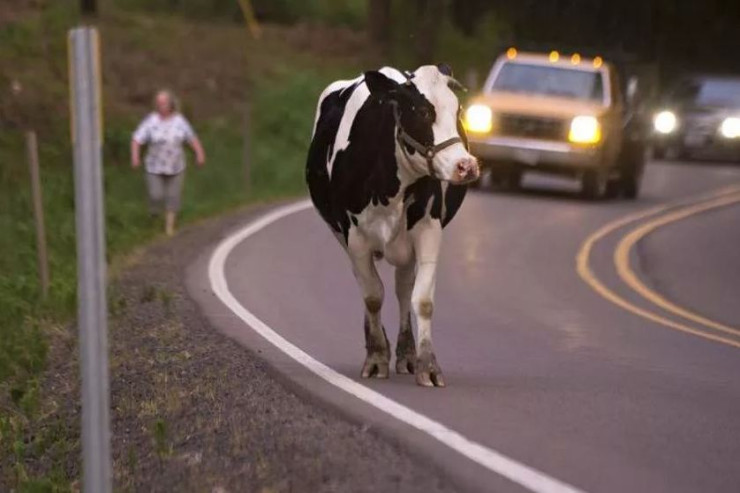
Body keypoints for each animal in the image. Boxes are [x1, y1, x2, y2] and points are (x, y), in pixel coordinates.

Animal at [306, 65, 480, 386]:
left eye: (458, 109)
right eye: (423, 112)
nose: (466, 166)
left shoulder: (428, 229)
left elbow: (422, 300)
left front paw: (428, 365)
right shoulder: (355, 237)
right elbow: (373, 296)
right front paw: (376, 358)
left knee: (402, 289)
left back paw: (406, 353)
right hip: (341, 237)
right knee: (367, 285)